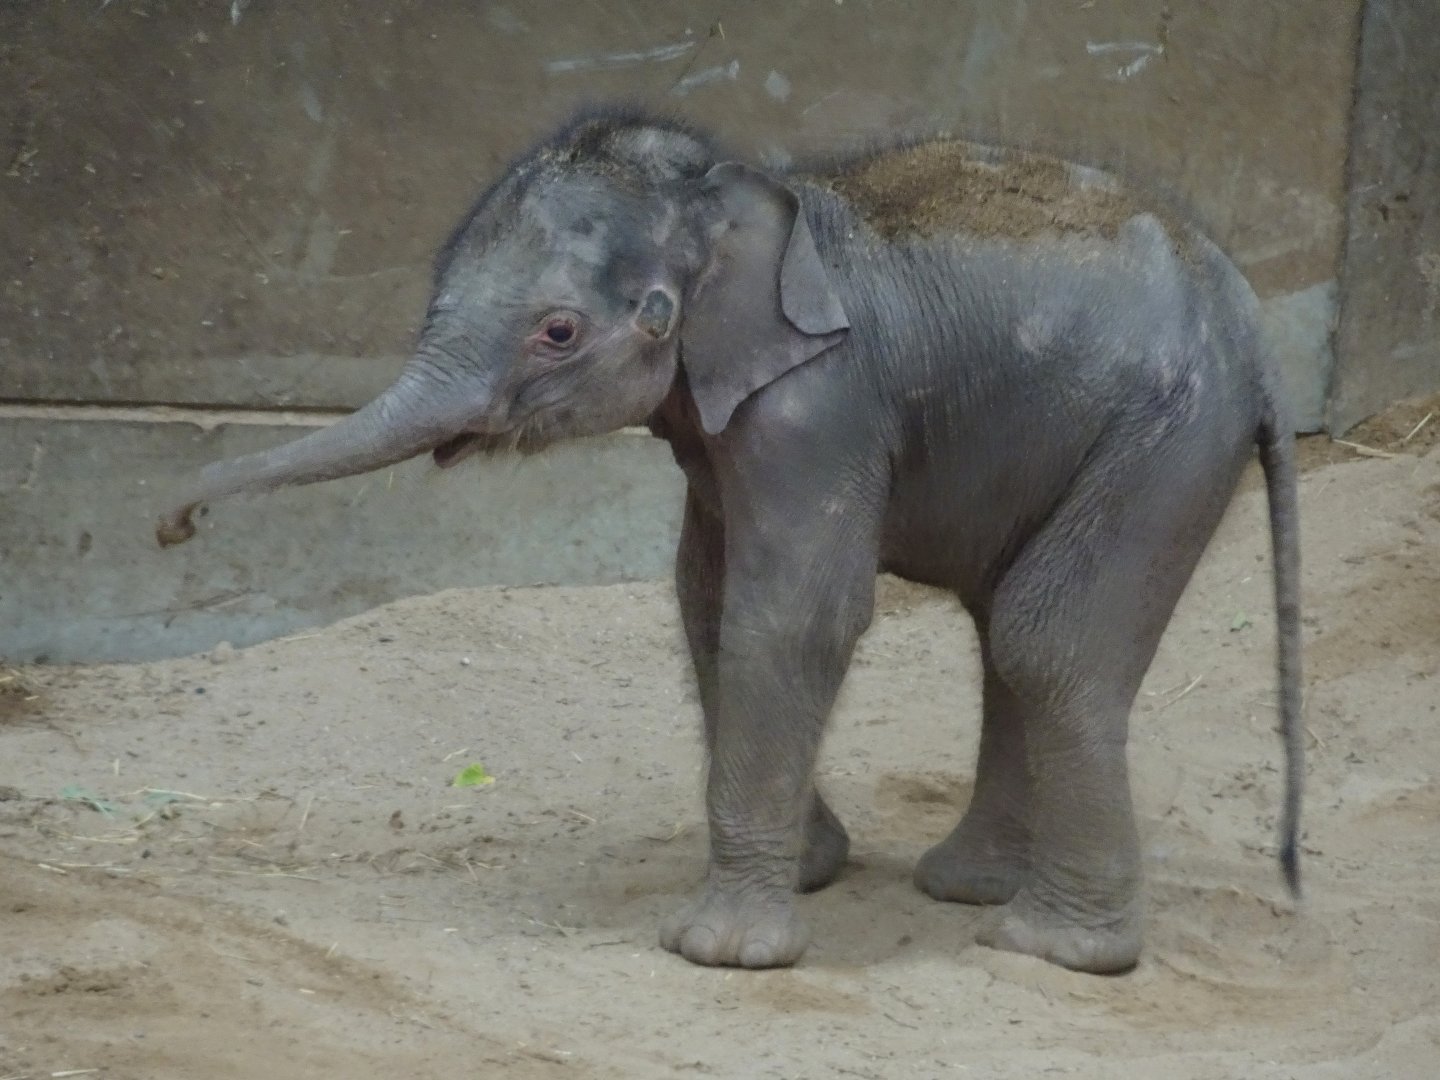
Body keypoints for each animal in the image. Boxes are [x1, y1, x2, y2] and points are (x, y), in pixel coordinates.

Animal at [157, 106, 1303, 975]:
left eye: (557, 332)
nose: (173, 522)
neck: (738, 201)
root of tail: (1257, 332)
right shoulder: (716, 425)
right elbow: (704, 603)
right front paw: (810, 869)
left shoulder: (819, 407)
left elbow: (792, 617)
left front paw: (721, 951)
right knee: (1009, 633)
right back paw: (969, 889)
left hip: (1165, 438)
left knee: (1044, 638)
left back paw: (1054, 948)